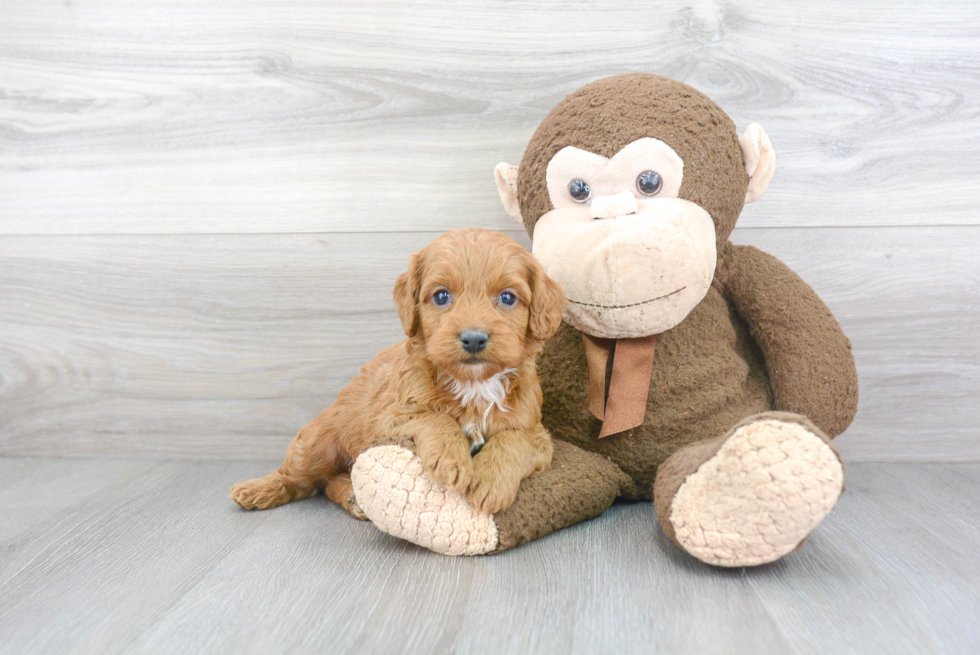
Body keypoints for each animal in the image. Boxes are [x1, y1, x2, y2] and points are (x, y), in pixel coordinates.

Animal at [230, 229, 564, 516]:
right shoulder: (388, 419)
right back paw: (256, 489)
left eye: (507, 297)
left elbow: (513, 440)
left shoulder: (538, 434)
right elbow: (436, 418)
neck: (474, 384)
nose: (473, 339)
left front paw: (491, 482)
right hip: (316, 444)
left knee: (330, 482)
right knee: (300, 479)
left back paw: (352, 496)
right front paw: (451, 459)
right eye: (441, 296)